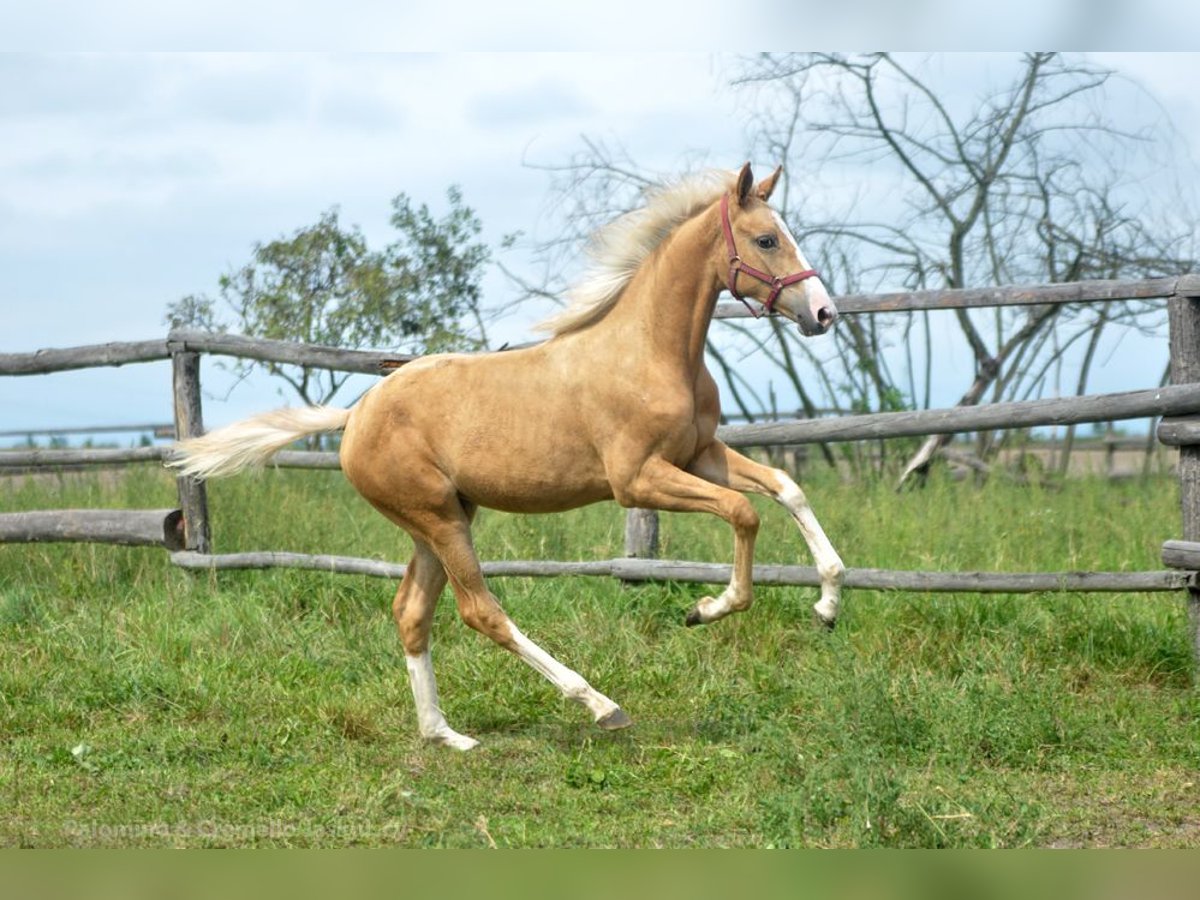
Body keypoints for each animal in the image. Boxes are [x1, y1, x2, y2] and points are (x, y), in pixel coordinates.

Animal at [169, 165, 844, 748]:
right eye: (766, 239)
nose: (823, 314)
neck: (649, 350)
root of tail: (355, 415)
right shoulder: (638, 480)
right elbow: (743, 512)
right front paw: (706, 609)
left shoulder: (700, 453)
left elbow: (785, 487)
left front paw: (828, 604)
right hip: (439, 519)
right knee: (479, 611)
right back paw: (599, 705)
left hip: (440, 521)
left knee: (412, 612)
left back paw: (445, 735)